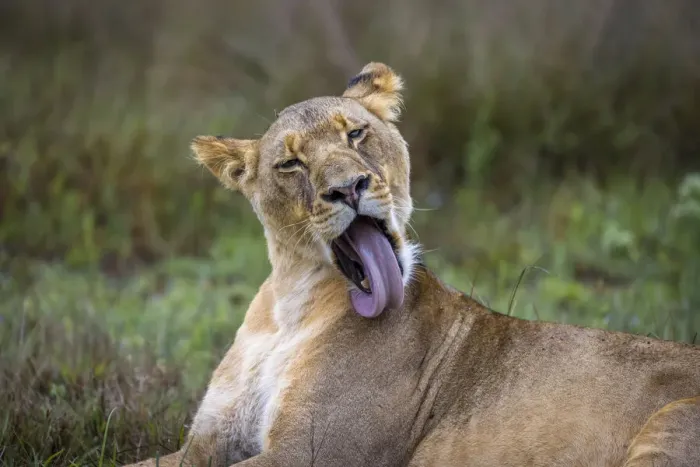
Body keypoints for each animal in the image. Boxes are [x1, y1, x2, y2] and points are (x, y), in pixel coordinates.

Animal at [126, 62, 700, 467]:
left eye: (355, 134)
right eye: (290, 163)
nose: (349, 187)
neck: (292, 304)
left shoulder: (315, 453)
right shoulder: (205, 443)